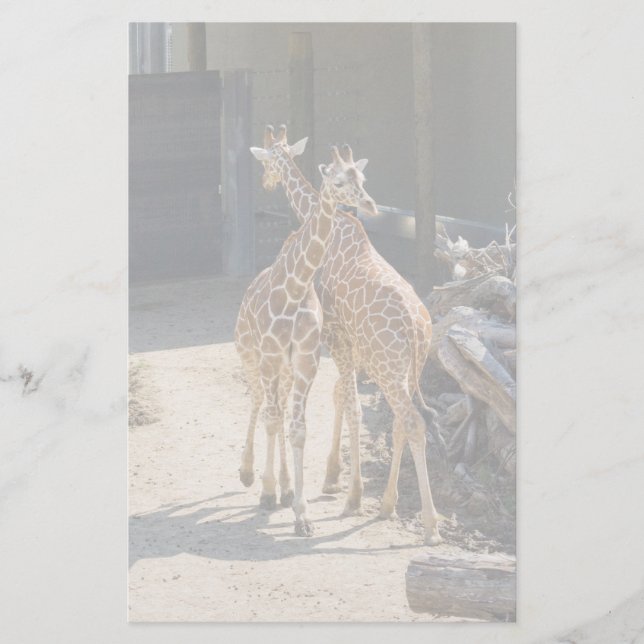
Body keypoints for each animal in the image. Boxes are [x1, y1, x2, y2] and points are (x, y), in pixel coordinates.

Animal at [235, 128, 377, 536]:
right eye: (338, 181)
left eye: (362, 177)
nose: (370, 204)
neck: (295, 288)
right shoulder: (272, 357)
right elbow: (274, 418)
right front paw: (269, 490)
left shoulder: (306, 360)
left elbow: (297, 426)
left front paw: (301, 512)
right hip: (252, 354)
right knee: (264, 405)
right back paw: (254, 476)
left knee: (292, 407)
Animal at [250, 125, 443, 545]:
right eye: (345, 180)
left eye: (268, 162)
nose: (266, 182)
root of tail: (418, 327)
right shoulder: (345, 344)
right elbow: (343, 398)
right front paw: (338, 480)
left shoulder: (335, 336)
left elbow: (348, 403)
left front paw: (344, 489)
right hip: (408, 370)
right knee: (401, 423)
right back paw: (388, 505)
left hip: (388, 368)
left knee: (411, 422)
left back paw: (430, 525)